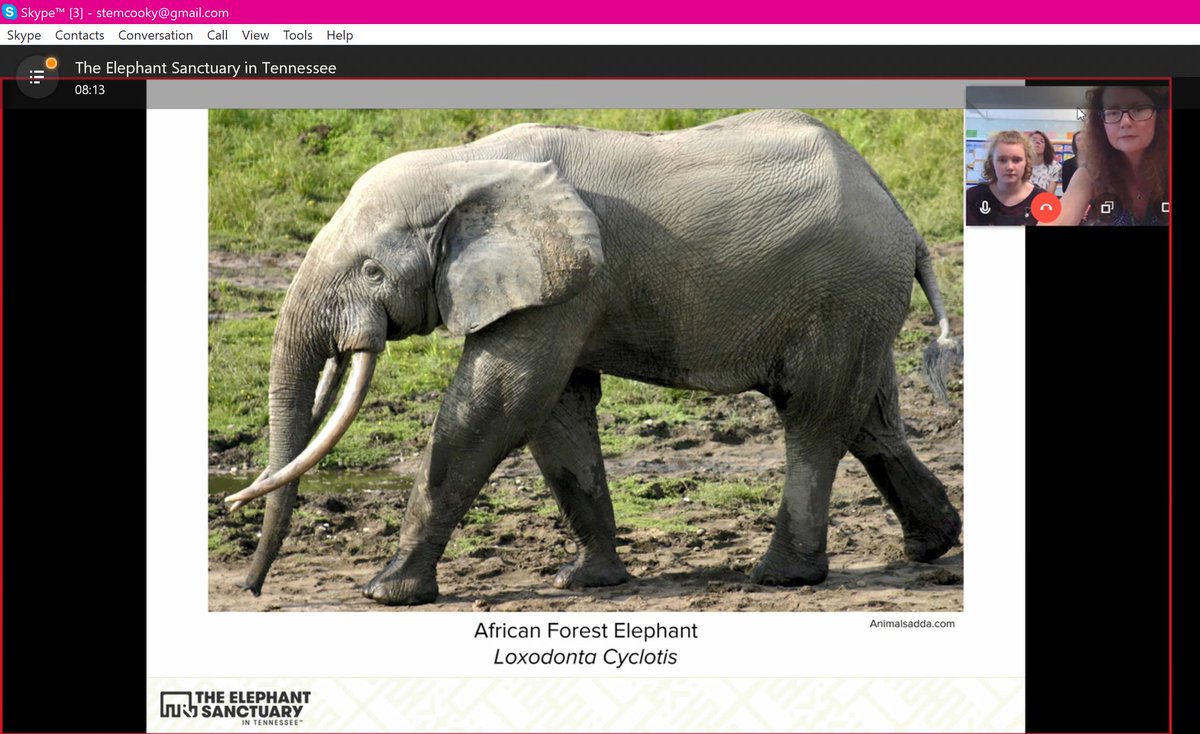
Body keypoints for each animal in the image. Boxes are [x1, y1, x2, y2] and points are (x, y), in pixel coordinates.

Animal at [224, 109, 963, 606]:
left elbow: (497, 404)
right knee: (869, 420)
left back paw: (780, 576)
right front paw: (585, 581)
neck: (464, 165)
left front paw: (386, 592)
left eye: (372, 271)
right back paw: (932, 544)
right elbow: (555, 414)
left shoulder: (562, 288)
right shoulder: (561, 289)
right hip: (857, 304)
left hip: (843, 293)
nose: (252, 588)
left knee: (813, 419)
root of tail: (905, 221)